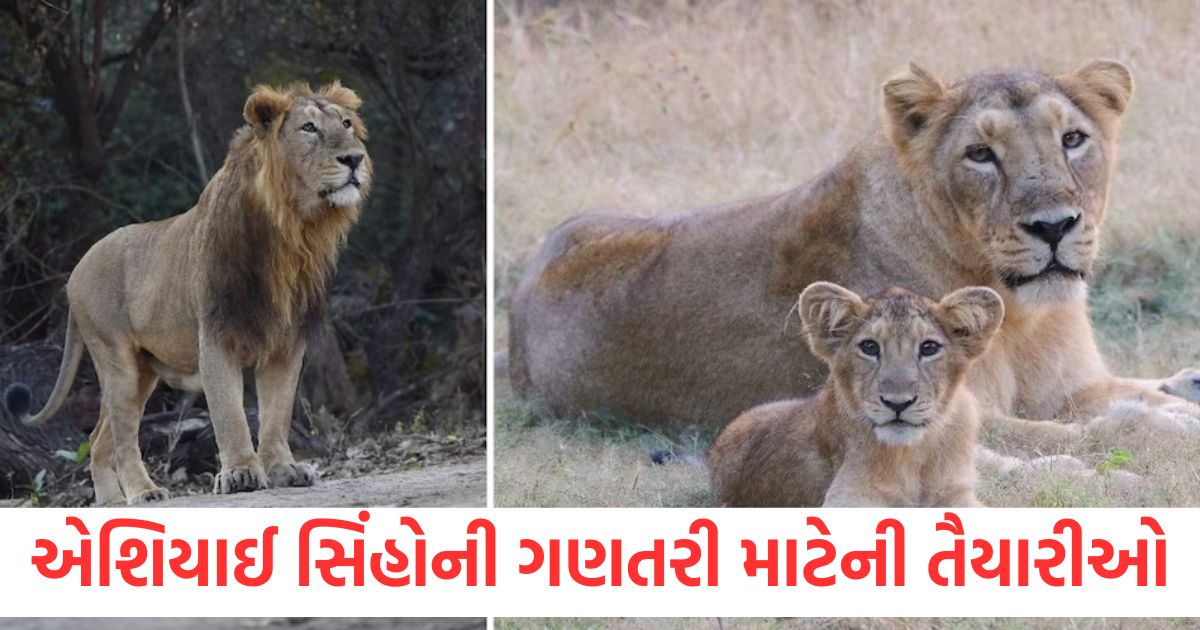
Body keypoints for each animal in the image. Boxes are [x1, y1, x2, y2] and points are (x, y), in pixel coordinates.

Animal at [3, 82, 371, 505]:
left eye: (347, 124)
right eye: (308, 128)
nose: (355, 158)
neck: (292, 229)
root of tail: (75, 271)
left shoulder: (287, 342)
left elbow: (277, 412)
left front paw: (283, 469)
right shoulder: (216, 337)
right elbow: (229, 413)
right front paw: (241, 473)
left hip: (143, 373)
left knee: (97, 438)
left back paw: (112, 502)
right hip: (117, 361)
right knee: (124, 440)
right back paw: (143, 492)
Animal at [508, 59, 1200, 448]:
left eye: (1074, 139)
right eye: (980, 154)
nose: (1054, 226)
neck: (1025, 316)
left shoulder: (1070, 387)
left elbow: (1125, 398)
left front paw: (1176, 398)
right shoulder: (939, 409)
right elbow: (1117, 426)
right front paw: (1171, 429)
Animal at [709, 283, 1000, 507]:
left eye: (929, 348)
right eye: (869, 347)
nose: (898, 404)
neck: (914, 455)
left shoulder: (956, 491)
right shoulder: (848, 495)